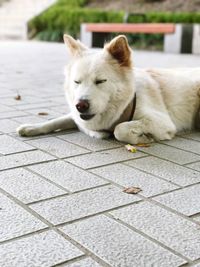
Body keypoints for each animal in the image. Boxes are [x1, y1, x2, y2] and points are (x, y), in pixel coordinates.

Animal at [17, 34, 200, 146]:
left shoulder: (161, 121)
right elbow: (57, 121)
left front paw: (142, 136)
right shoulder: (78, 116)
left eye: (100, 81)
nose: (80, 105)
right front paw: (31, 127)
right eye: (77, 82)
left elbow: (120, 129)